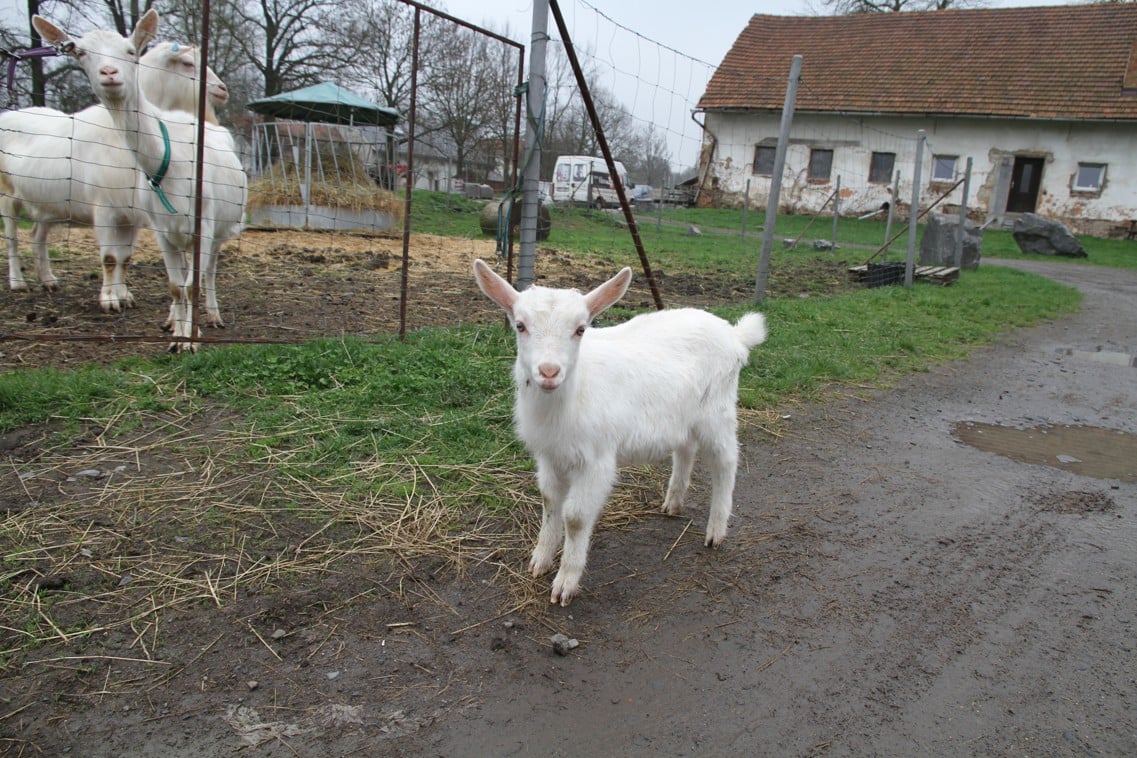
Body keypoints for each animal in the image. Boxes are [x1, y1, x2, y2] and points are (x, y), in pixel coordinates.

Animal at [0, 39, 233, 309]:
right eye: (187, 63)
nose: (222, 89)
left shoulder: (132, 212)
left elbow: (126, 257)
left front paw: (124, 295)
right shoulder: (104, 207)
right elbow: (110, 257)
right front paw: (110, 300)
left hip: (48, 206)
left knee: (38, 236)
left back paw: (48, 280)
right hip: (7, 195)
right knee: (12, 237)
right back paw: (18, 282)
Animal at [34, 9, 247, 352]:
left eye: (130, 51)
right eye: (80, 53)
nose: (109, 73)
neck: (167, 162)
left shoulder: (204, 225)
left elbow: (193, 285)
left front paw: (191, 340)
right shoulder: (161, 229)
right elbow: (176, 286)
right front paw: (178, 337)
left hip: (221, 228)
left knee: (209, 272)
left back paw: (212, 316)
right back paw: (174, 320)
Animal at [470, 259, 764, 604]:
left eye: (580, 329)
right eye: (519, 325)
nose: (549, 371)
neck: (568, 399)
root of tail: (735, 335)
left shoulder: (596, 458)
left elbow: (575, 517)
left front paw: (565, 583)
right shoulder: (550, 454)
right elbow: (549, 501)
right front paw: (539, 560)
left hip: (717, 411)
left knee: (726, 462)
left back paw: (716, 531)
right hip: (682, 414)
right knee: (685, 448)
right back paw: (673, 502)